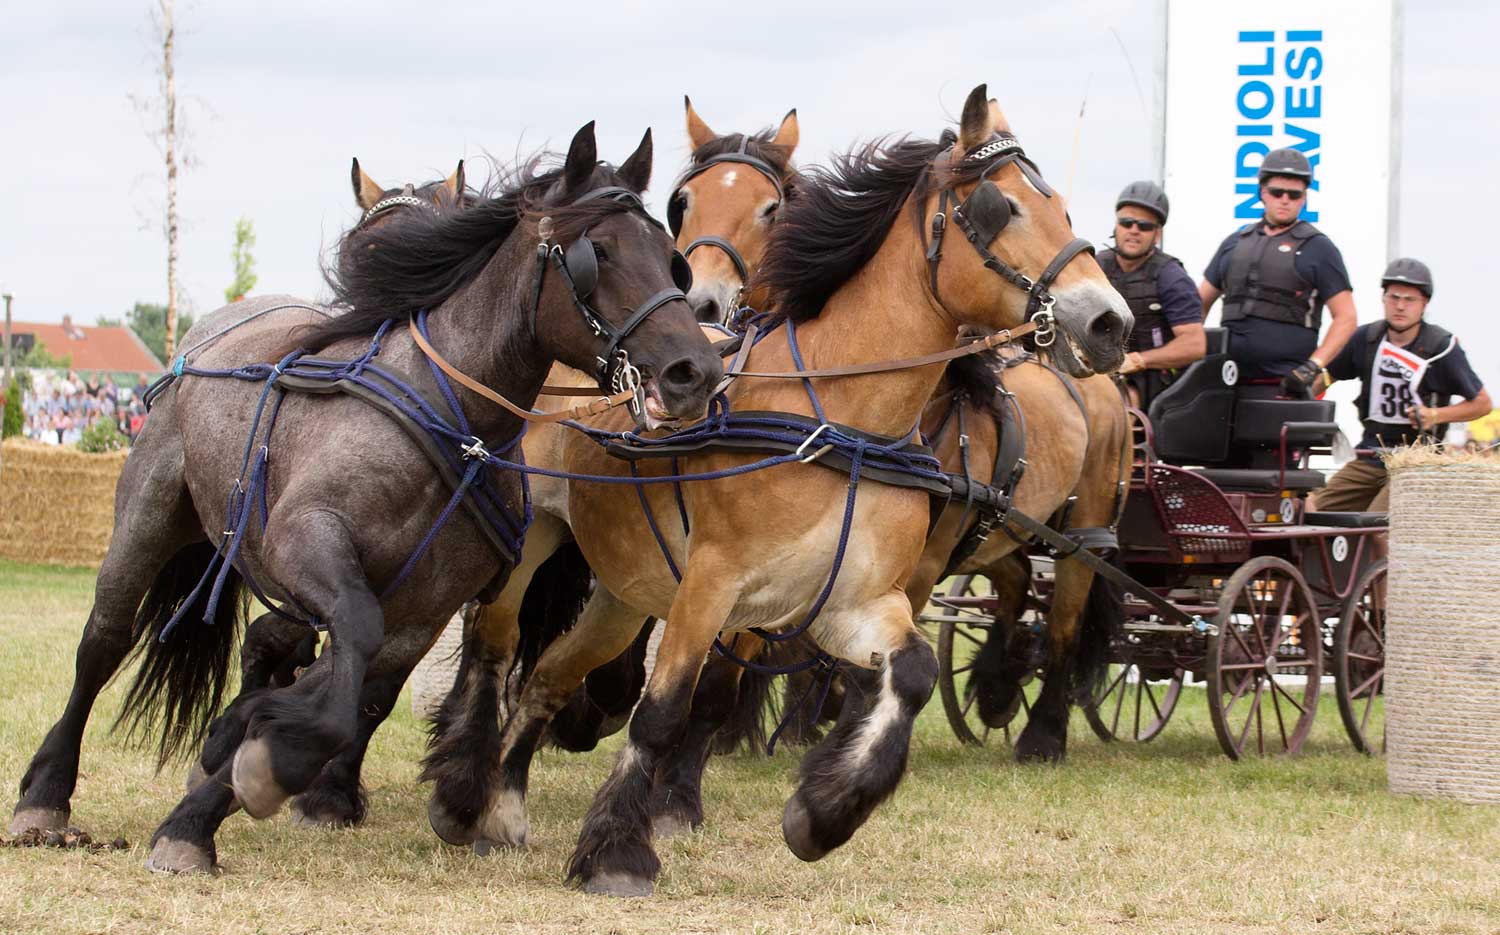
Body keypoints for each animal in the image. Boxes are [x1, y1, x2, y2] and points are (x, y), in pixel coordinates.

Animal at [5, 120, 720, 876]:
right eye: (598, 252)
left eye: (670, 260)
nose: (695, 370)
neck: (452, 420)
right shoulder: (305, 538)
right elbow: (345, 643)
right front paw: (247, 762)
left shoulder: (420, 614)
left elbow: (347, 693)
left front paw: (228, 777)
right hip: (149, 519)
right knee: (102, 642)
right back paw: (45, 794)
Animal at [423, 87, 1128, 900]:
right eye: (999, 207)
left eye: (1063, 209)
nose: (1111, 321)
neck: (839, 422)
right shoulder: (713, 584)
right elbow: (663, 711)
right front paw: (619, 849)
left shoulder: (854, 599)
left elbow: (911, 674)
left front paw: (825, 810)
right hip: (538, 534)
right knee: (496, 639)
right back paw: (463, 793)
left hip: (627, 589)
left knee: (548, 675)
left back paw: (503, 802)